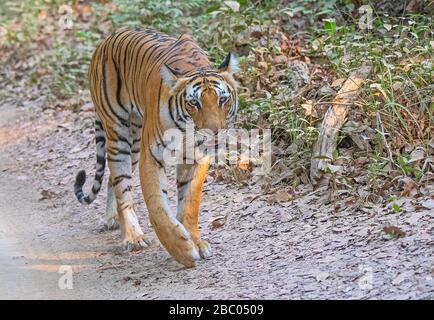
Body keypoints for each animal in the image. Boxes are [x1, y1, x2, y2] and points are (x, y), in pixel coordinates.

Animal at [73, 28, 239, 268]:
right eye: (194, 103)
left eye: (222, 100)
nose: (214, 132)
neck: (185, 132)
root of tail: (105, 40)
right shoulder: (151, 156)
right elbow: (157, 206)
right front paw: (181, 249)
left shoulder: (196, 157)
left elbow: (190, 203)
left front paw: (195, 241)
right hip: (119, 134)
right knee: (122, 186)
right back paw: (133, 237)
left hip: (133, 142)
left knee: (113, 180)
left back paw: (113, 219)